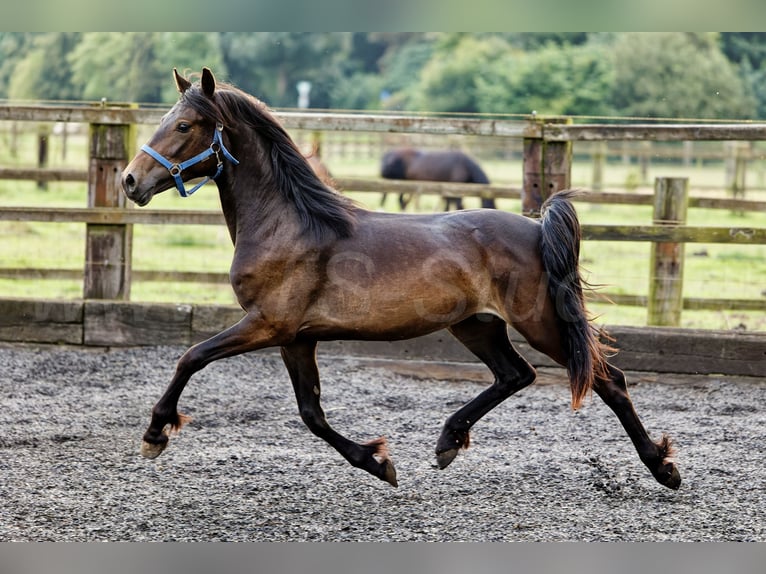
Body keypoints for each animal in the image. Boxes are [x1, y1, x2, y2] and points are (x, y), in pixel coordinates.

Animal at [121, 67, 684, 490]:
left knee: (608, 380)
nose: (129, 181)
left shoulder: (267, 324)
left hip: (540, 322)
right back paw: (447, 442)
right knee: (515, 375)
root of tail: (537, 226)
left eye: (185, 125)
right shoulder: (297, 338)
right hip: (476, 325)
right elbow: (311, 413)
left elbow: (191, 356)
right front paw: (378, 462)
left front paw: (155, 435)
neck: (288, 224)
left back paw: (663, 468)